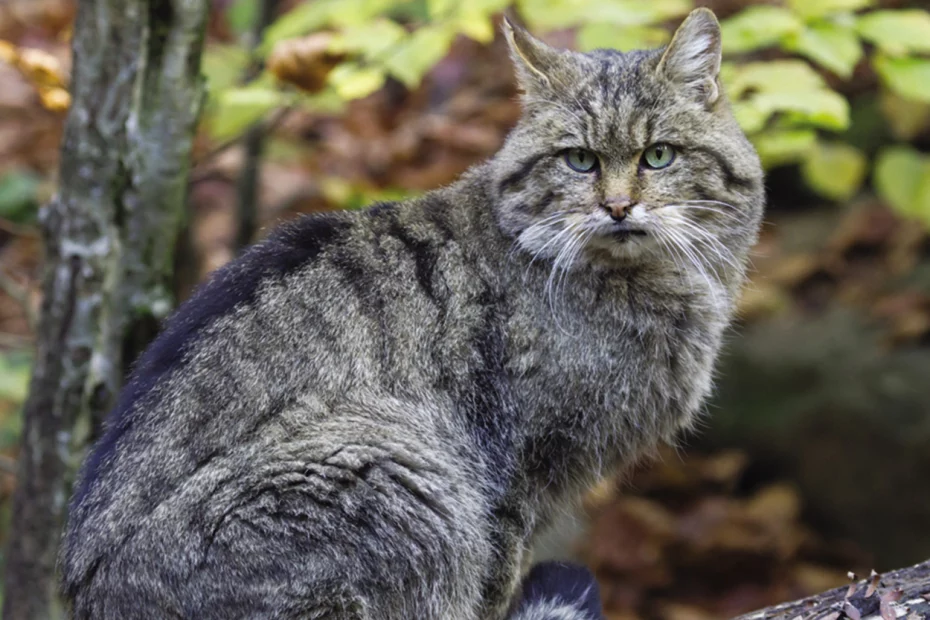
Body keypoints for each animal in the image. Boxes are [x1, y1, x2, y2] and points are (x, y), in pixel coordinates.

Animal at [61, 9, 764, 620]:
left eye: (659, 156)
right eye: (580, 160)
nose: (617, 207)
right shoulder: (513, 477)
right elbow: (492, 586)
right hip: (395, 465)